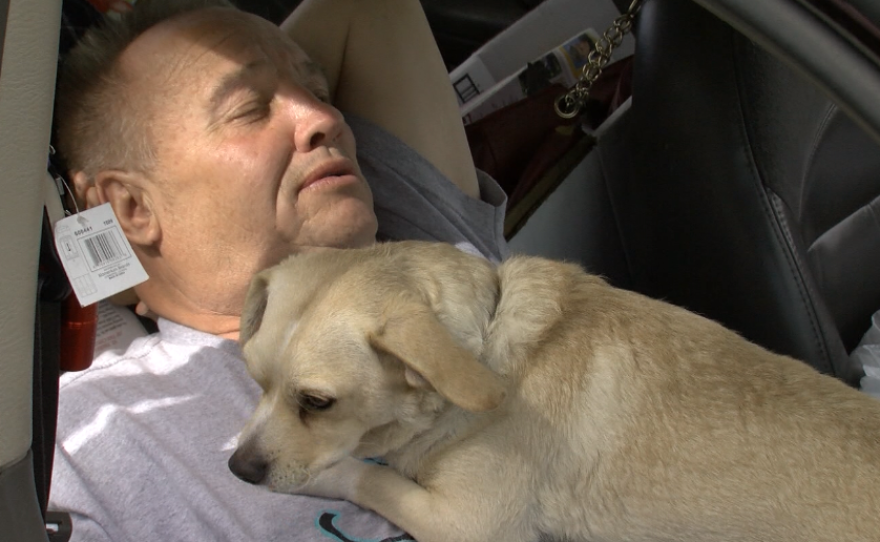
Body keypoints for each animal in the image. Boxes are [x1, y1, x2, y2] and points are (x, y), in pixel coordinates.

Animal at [229, 242, 880, 542]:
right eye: (255, 379)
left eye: (317, 403)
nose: (238, 470)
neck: (486, 347)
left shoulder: (470, 525)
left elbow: (368, 478)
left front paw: (322, 477)